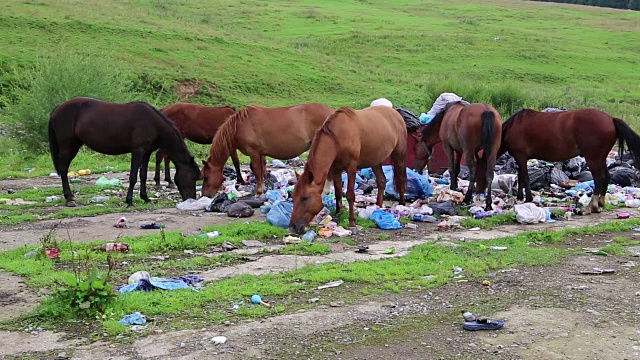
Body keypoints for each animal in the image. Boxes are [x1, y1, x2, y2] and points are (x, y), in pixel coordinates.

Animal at [48, 97, 200, 207]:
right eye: (193, 177)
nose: (191, 199)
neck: (152, 123)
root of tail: (57, 109)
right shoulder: (137, 152)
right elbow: (133, 177)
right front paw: (129, 201)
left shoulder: (146, 153)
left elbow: (143, 175)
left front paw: (145, 198)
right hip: (68, 147)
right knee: (63, 170)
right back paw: (69, 198)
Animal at [201, 102, 336, 198]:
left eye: (206, 177)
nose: (205, 195)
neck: (239, 125)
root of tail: (332, 112)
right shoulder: (261, 153)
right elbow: (262, 170)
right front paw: (264, 189)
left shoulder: (254, 152)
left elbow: (256, 170)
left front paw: (258, 192)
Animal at [288, 106, 408, 236]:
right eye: (293, 196)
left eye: (305, 198)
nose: (292, 228)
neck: (337, 138)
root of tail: (395, 113)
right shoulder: (335, 169)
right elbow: (338, 193)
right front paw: (338, 215)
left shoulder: (351, 167)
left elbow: (350, 195)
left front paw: (352, 223)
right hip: (375, 160)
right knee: (381, 180)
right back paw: (378, 208)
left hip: (399, 155)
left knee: (400, 179)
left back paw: (402, 205)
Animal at [498, 107, 640, 214]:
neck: (512, 127)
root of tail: (611, 119)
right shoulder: (520, 158)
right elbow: (521, 177)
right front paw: (520, 198)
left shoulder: (521, 156)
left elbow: (525, 178)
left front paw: (527, 199)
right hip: (600, 158)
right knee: (606, 176)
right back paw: (599, 203)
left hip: (593, 158)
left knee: (599, 178)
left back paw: (591, 206)